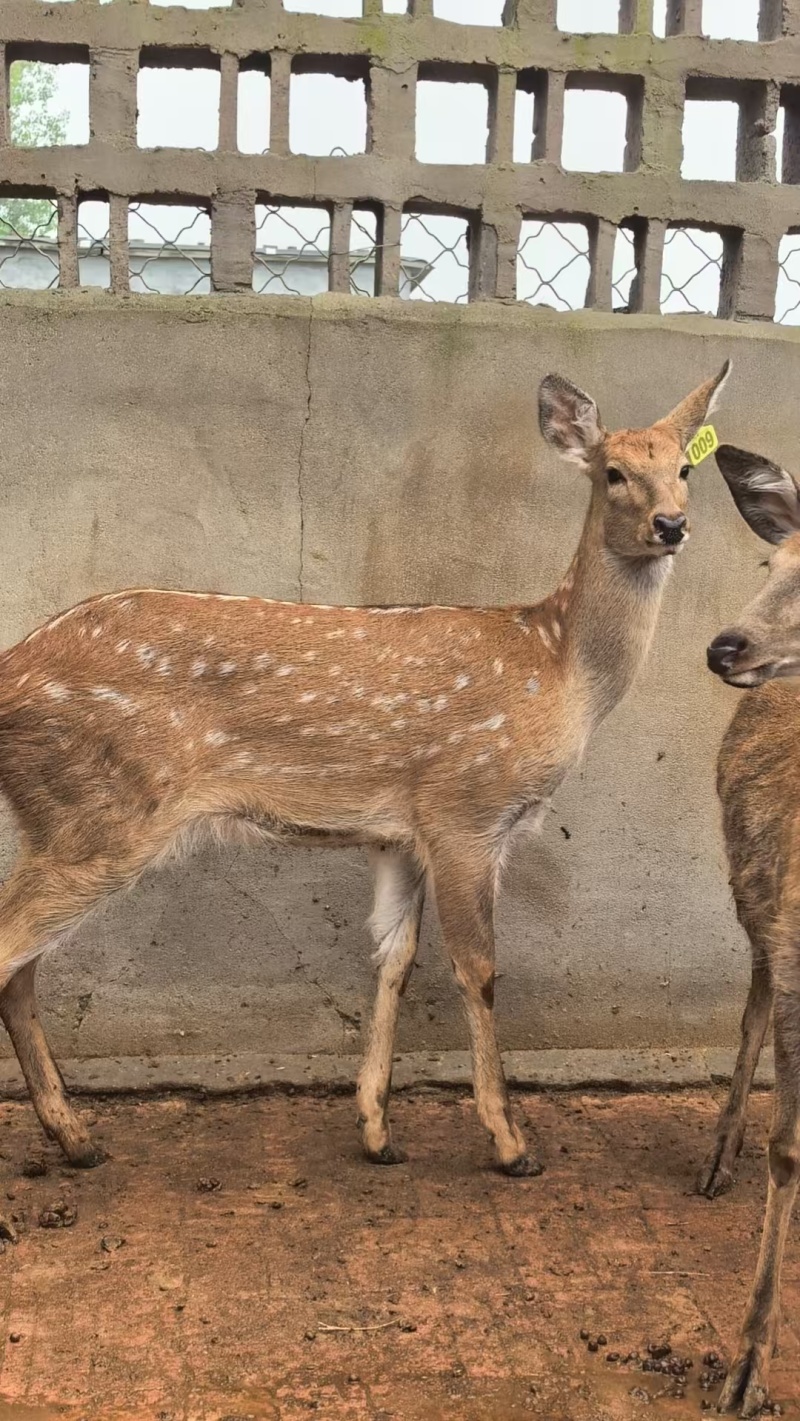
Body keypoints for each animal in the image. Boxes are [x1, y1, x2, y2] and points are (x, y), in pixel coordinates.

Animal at [0, 363, 730, 1183]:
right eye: (613, 473)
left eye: (686, 469)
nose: (671, 524)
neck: (557, 666)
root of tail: (10, 673)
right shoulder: (465, 811)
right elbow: (478, 967)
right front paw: (511, 1143)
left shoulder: (399, 834)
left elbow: (394, 960)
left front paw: (378, 1131)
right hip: (96, 812)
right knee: (10, 953)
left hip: (64, 818)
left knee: (21, 970)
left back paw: (76, 1137)